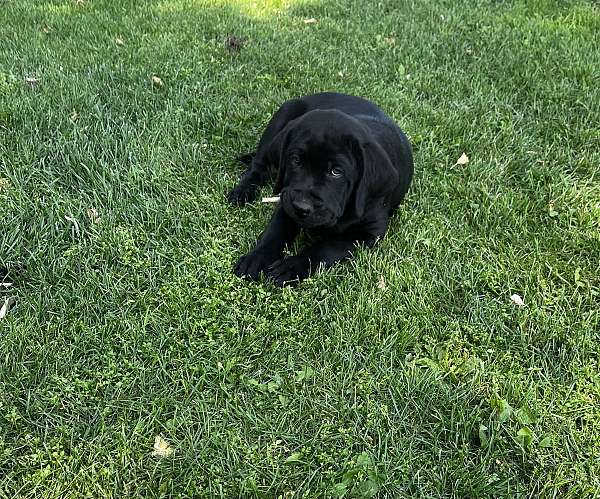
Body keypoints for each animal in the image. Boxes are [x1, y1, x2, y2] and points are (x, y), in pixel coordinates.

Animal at [229, 92, 412, 288]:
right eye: (295, 160)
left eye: (336, 171)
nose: (301, 207)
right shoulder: (287, 199)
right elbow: (276, 231)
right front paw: (257, 257)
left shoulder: (369, 231)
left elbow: (327, 248)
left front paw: (291, 267)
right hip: (281, 117)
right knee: (258, 164)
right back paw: (242, 192)